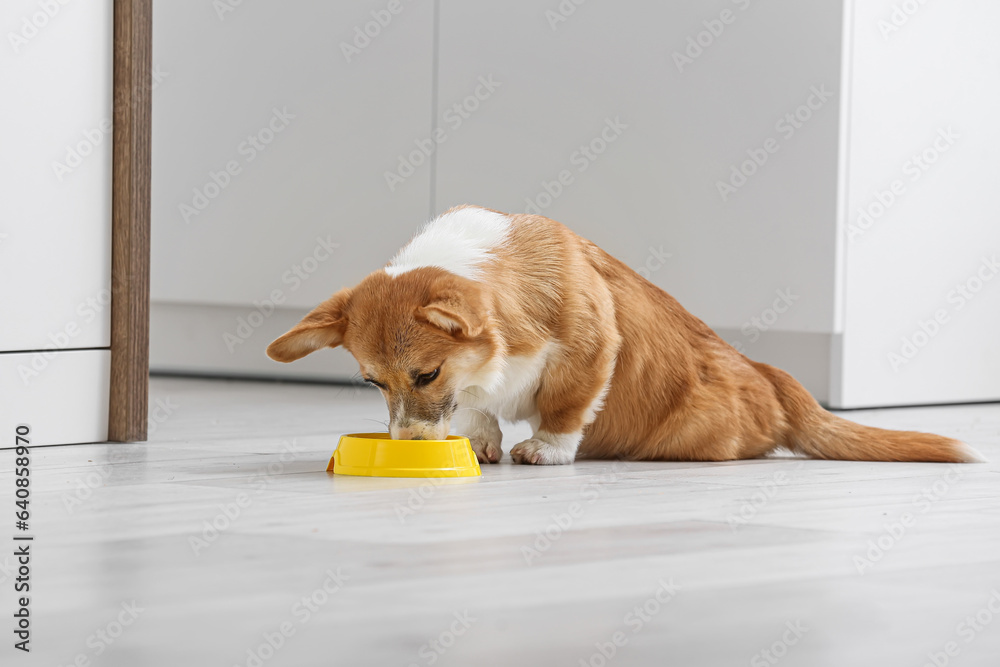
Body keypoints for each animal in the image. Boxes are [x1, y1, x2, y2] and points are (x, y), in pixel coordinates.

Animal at [266, 206, 984, 468]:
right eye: (371, 381)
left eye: (425, 373)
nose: (408, 448)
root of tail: (771, 376)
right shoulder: (475, 378)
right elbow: (476, 405)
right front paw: (482, 440)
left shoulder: (588, 350)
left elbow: (564, 406)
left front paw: (544, 450)